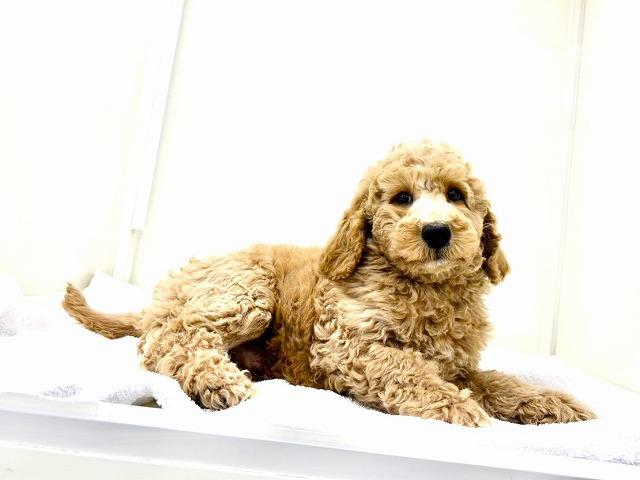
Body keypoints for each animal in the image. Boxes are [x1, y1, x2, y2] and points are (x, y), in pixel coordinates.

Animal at [63, 140, 595, 426]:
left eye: (456, 195)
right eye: (402, 199)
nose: (437, 231)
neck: (424, 287)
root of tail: (162, 294)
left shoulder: (459, 365)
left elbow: (497, 381)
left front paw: (551, 403)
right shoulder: (348, 347)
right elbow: (408, 370)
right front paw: (456, 409)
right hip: (245, 289)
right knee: (170, 339)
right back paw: (219, 381)